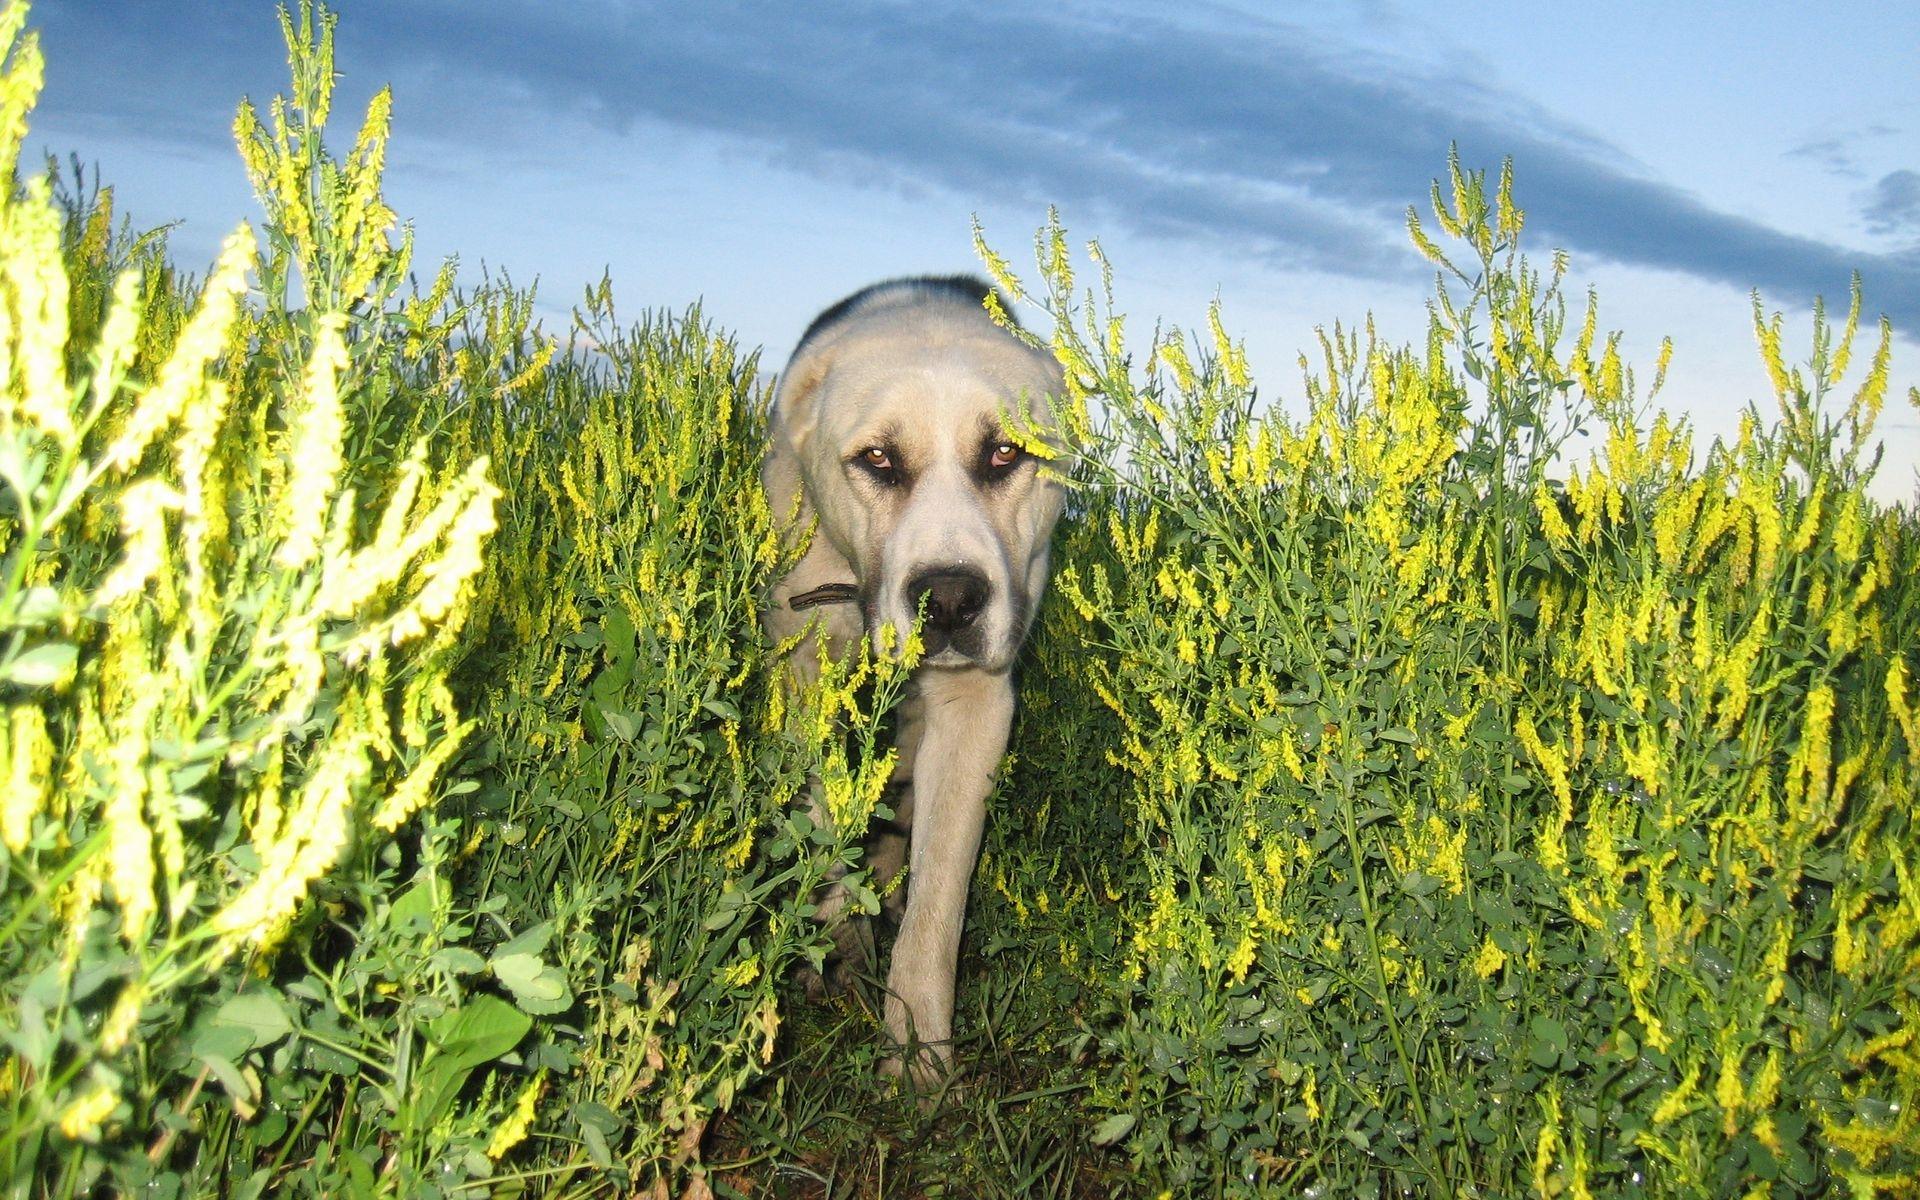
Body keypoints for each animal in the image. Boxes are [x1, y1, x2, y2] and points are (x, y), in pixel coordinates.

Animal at [760, 276, 1067, 1082]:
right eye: (877, 458)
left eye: (1004, 453)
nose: (952, 600)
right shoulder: (805, 676)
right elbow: (827, 818)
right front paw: (834, 944)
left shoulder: (973, 705)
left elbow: (940, 896)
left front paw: (918, 1054)